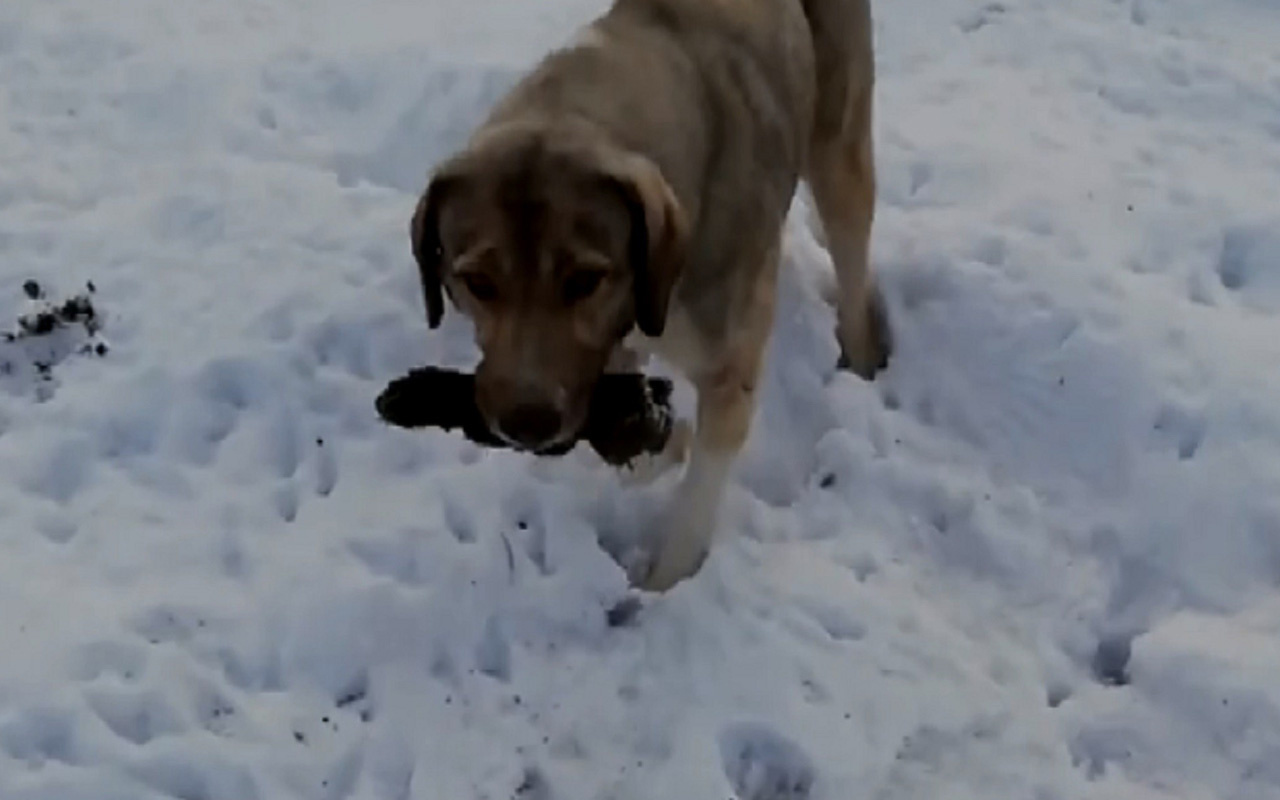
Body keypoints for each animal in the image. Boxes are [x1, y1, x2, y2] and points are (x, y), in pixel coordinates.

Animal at [412, 0, 890, 586]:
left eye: (585, 279)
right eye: (478, 282)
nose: (528, 424)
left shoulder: (726, 370)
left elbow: (698, 491)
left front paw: (665, 582)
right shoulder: (606, 354)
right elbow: (627, 441)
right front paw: (663, 444)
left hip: (838, 136)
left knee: (849, 239)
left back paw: (862, 355)